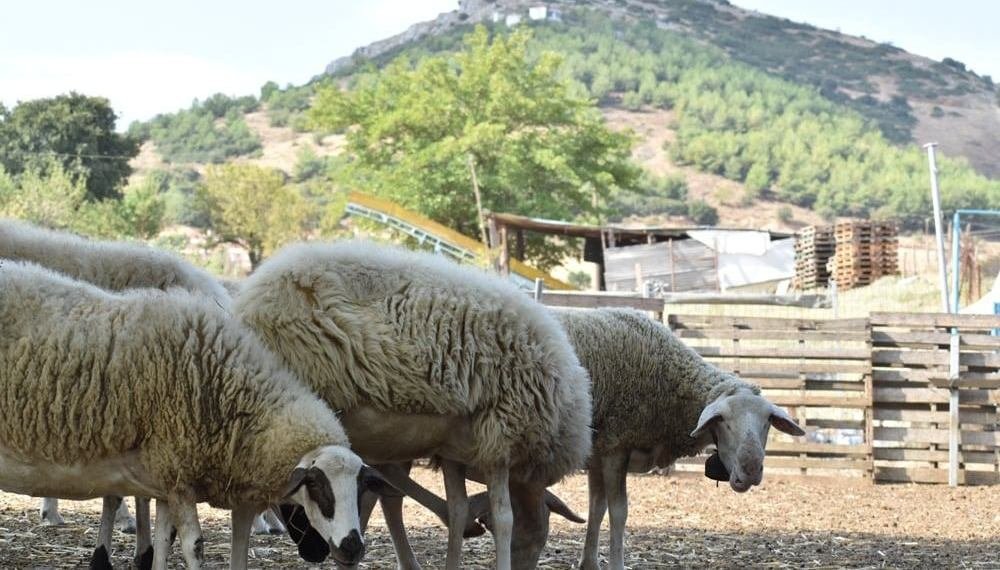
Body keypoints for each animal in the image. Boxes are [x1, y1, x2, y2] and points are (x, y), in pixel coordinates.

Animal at [0, 260, 382, 568]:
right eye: (314, 485)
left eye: (362, 486)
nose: (352, 548)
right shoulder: (177, 473)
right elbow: (194, 546)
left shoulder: (165, 477)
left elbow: (163, 541)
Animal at [234, 240, 592, 568]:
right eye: (538, 538)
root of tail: (252, 297)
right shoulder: (500, 437)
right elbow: (504, 518)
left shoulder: (457, 449)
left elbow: (458, 508)